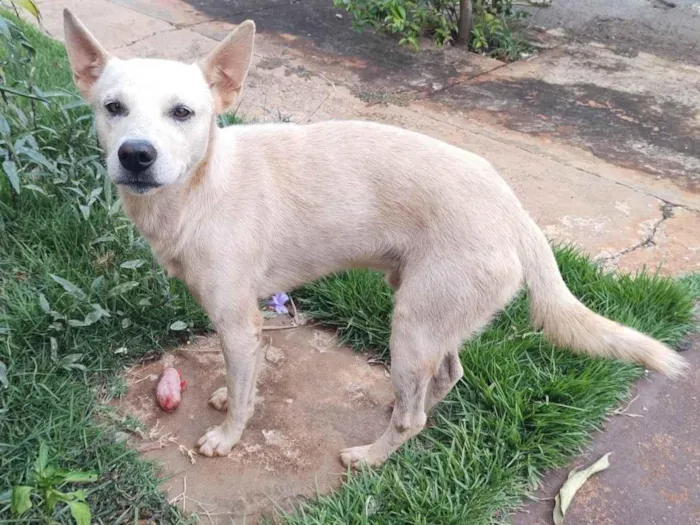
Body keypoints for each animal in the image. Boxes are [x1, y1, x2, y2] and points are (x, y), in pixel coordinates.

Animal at [63, 8, 688, 466]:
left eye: (183, 113)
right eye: (113, 108)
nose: (136, 155)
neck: (200, 187)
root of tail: (513, 209)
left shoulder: (239, 323)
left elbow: (241, 395)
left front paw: (227, 436)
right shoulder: (243, 326)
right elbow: (241, 381)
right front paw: (231, 394)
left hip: (412, 322)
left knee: (414, 415)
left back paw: (369, 455)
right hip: (427, 316)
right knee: (445, 377)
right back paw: (406, 405)